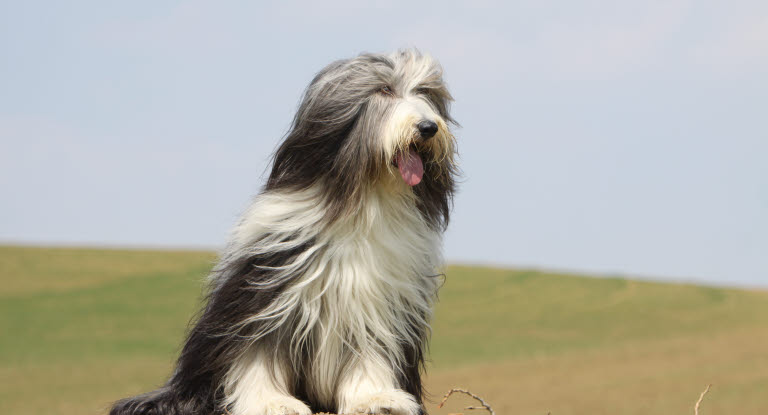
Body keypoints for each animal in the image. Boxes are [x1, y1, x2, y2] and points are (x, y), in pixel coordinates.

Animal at [111, 49, 460, 415]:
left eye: (425, 93)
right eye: (384, 90)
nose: (428, 127)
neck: (363, 201)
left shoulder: (378, 300)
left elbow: (371, 352)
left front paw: (377, 398)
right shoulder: (268, 288)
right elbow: (257, 351)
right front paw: (271, 402)